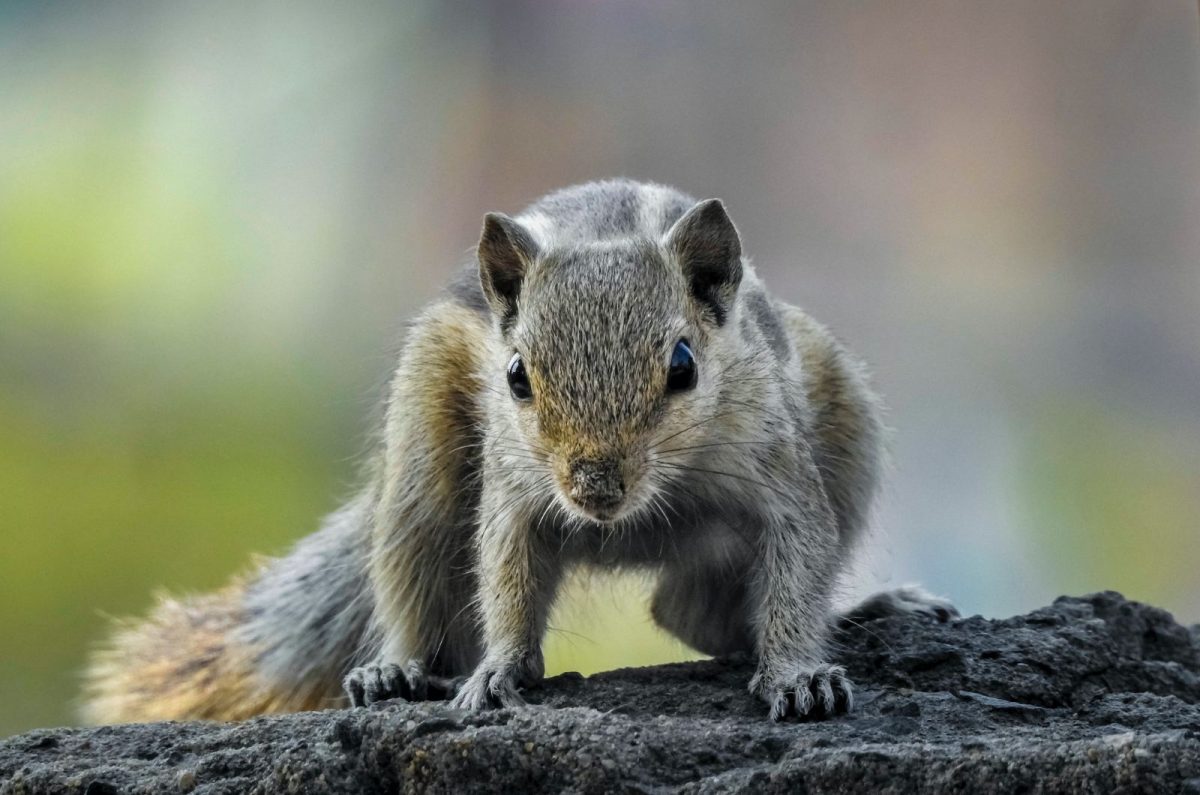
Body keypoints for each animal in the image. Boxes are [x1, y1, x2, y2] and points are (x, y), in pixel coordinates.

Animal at [82, 179, 956, 725]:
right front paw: (501, 669)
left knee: (688, 611)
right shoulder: (514, 489)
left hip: (847, 423)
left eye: (683, 365)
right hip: (422, 457)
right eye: (515, 376)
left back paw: (868, 609)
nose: (595, 488)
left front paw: (799, 672)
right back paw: (397, 668)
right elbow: (503, 574)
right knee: (417, 577)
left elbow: (797, 568)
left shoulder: (781, 473)